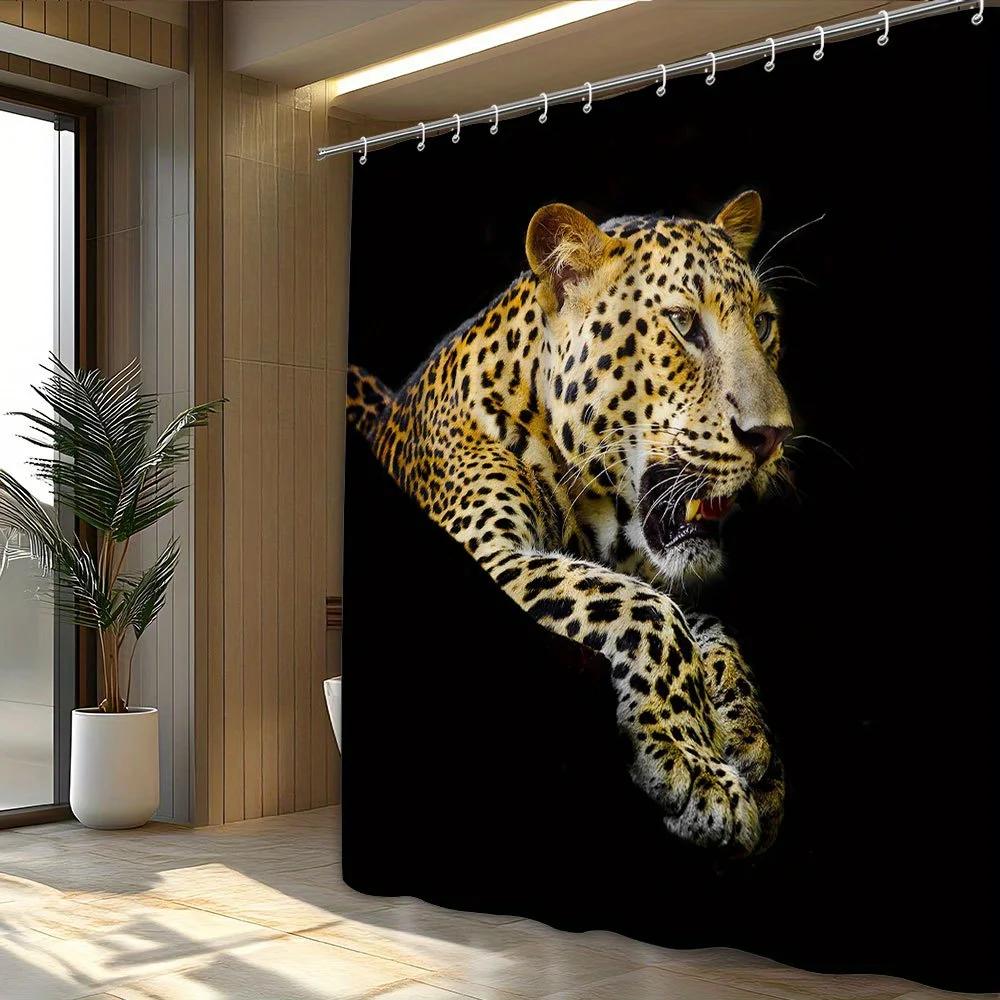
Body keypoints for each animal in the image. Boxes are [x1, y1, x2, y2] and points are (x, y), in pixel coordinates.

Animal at [347, 192, 791, 855]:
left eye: (763, 325)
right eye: (684, 324)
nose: (772, 438)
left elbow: (709, 628)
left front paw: (747, 737)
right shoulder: (489, 553)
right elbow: (647, 609)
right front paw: (699, 769)